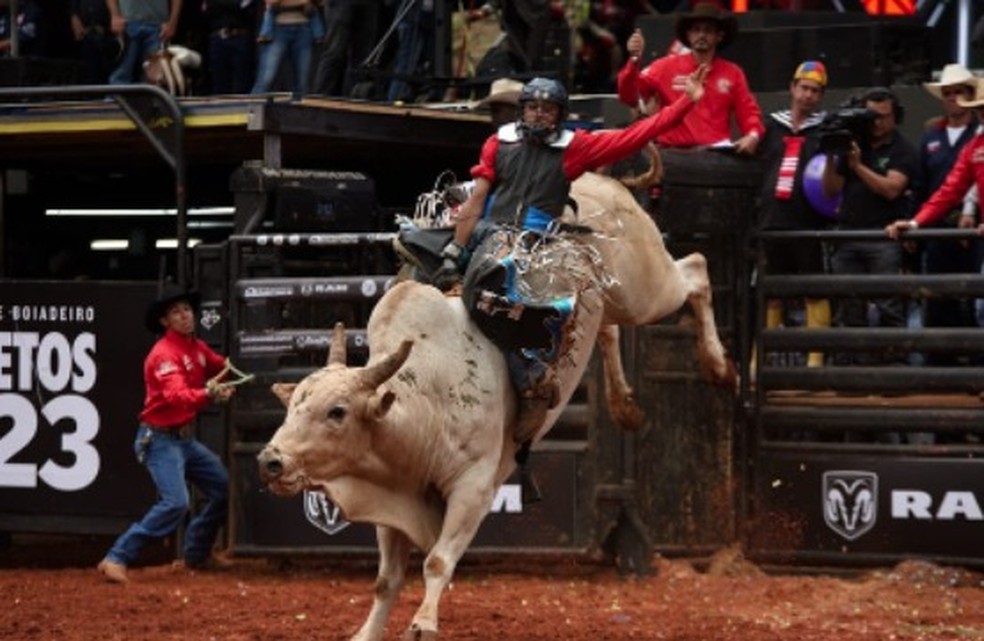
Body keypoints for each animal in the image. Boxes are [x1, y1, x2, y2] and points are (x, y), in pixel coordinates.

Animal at [258, 172, 736, 636]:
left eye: (337, 412)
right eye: (293, 407)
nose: (270, 461)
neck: (426, 402)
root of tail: (601, 180)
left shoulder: (474, 487)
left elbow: (437, 561)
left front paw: (423, 623)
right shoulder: (392, 498)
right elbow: (386, 581)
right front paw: (368, 632)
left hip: (645, 285)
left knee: (695, 271)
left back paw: (720, 368)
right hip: (613, 298)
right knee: (610, 328)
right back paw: (626, 406)